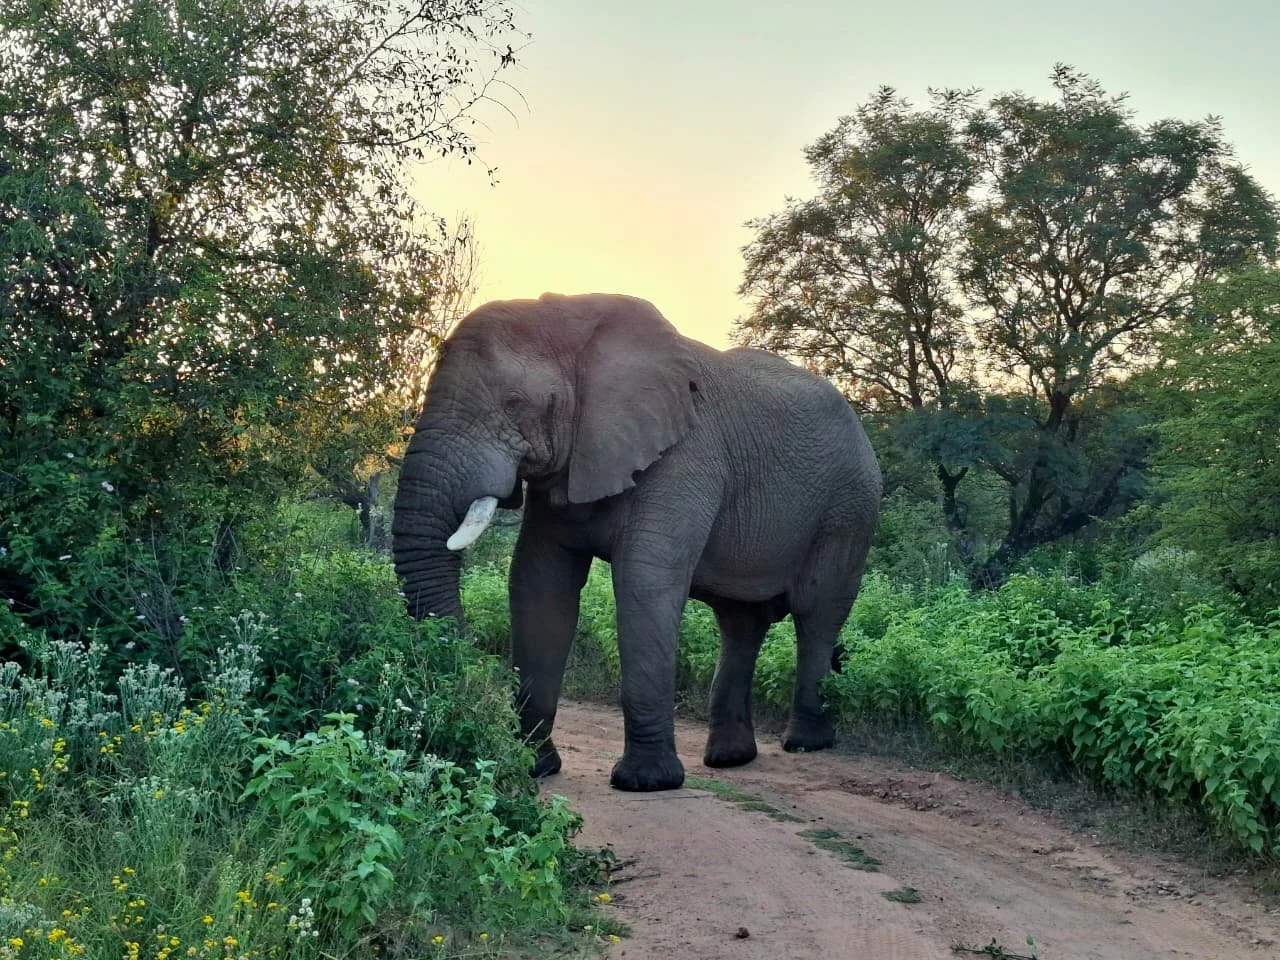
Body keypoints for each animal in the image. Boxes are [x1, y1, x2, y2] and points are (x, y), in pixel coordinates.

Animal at [392, 293, 881, 792]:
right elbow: (539, 582)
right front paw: (534, 767)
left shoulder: (683, 457)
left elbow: (644, 585)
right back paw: (730, 759)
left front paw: (646, 782)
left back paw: (805, 743)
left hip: (850, 507)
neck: (572, 324)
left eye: (514, 403)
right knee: (740, 623)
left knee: (817, 611)